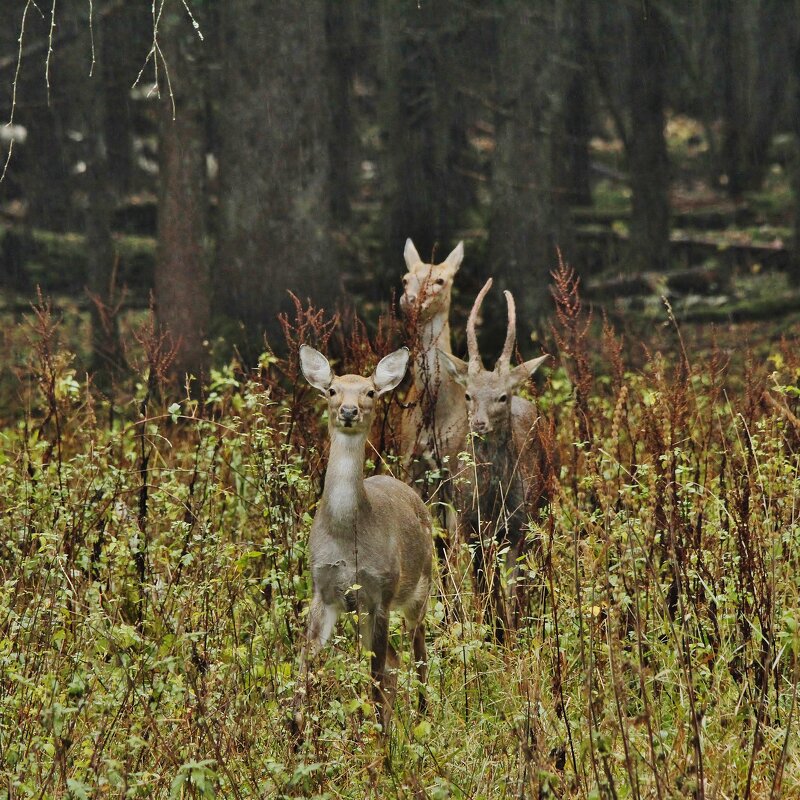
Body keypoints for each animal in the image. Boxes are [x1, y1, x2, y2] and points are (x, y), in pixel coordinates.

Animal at [292, 344, 432, 732]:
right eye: (331, 389)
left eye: (370, 392)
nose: (349, 410)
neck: (346, 536)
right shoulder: (324, 591)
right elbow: (303, 670)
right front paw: (295, 733)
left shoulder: (380, 592)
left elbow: (374, 678)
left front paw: (380, 741)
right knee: (397, 660)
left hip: (421, 589)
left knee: (418, 655)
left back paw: (423, 719)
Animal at [438, 278, 556, 640]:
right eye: (468, 394)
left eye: (502, 396)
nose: (479, 423)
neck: (492, 502)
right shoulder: (469, 527)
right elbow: (485, 591)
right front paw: (493, 634)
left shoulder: (518, 526)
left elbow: (514, 589)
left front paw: (513, 638)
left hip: (545, 501)